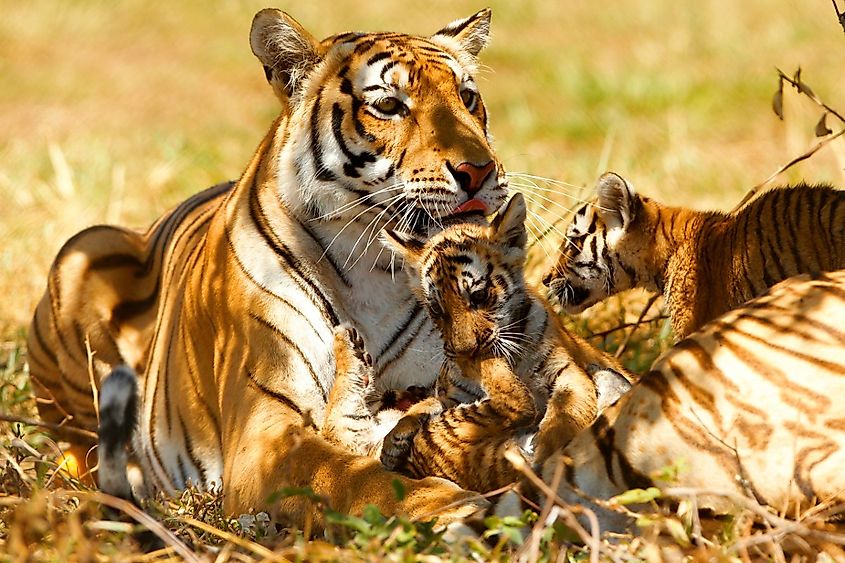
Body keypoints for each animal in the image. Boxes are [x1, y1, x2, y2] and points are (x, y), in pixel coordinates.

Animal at [27, 8, 509, 527]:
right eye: (389, 105)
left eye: (467, 97)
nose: (479, 170)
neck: (376, 270)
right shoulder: (264, 431)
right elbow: (346, 474)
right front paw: (446, 503)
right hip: (85, 247)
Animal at [320, 193, 633, 493]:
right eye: (436, 309)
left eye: (479, 296)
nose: (465, 353)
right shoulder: (457, 394)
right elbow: (427, 405)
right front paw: (397, 436)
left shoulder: (567, 371)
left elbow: (567, 413)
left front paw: (549, 447)